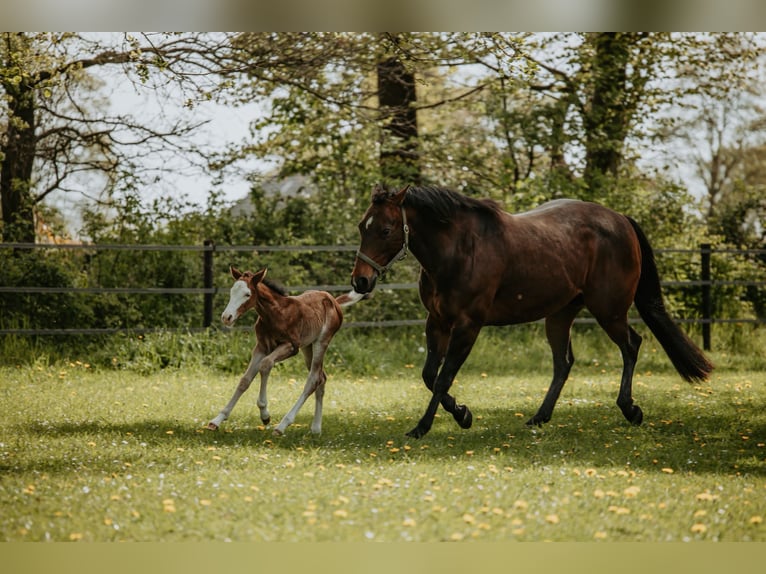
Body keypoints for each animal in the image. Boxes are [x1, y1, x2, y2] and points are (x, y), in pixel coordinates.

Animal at [207, 265, 365, 436]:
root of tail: (334, 301)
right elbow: (245, 380)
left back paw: (282, 425)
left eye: (247, 294)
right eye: (231, 291)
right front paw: (217, 420)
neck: (275, 314)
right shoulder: (261, 347)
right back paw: (316, 428)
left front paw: (265, 414)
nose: (226, 317)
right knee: (321, 378)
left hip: (321, 342)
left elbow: (266, 364)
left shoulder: (291, 346)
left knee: (313, 379)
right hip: (307, 347)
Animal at [350, 184, 713, 439]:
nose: (360, 281)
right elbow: (429, 375)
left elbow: (443, 378)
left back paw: (630, 409)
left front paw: (426, 426)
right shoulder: (437, 322)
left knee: (631, 346)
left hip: (609, 311)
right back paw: (540, 417)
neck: (458, 249)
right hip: (560, 315)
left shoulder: (468, 325)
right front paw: (462, 413)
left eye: (385, 230)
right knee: (563, 363)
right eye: (361, 226)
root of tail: (621, 219)